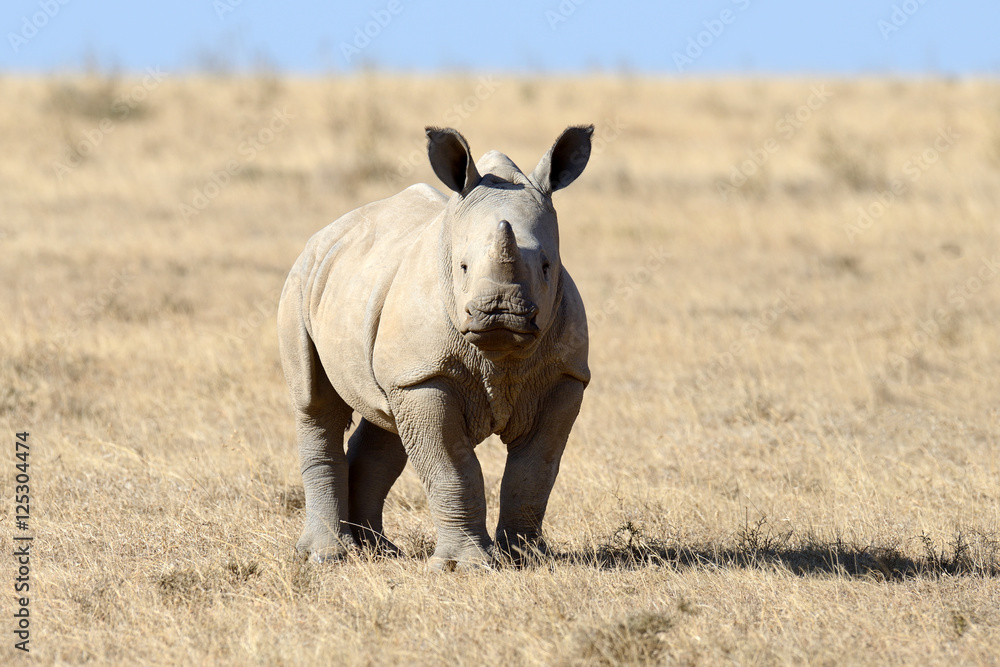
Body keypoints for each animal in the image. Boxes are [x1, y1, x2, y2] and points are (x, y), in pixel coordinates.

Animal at [277, 125, 593, 570]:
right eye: (462, 267)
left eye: (547, 266)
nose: (499, 311)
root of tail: (328, 231)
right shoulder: (427, 376)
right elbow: (452, 468)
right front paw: (467, 567)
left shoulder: (564, 376)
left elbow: (535, 471)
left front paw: (526, 559)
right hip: (302, 278)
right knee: (315, 405)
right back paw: (325, 557)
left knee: (386, 421)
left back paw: (378, 551)